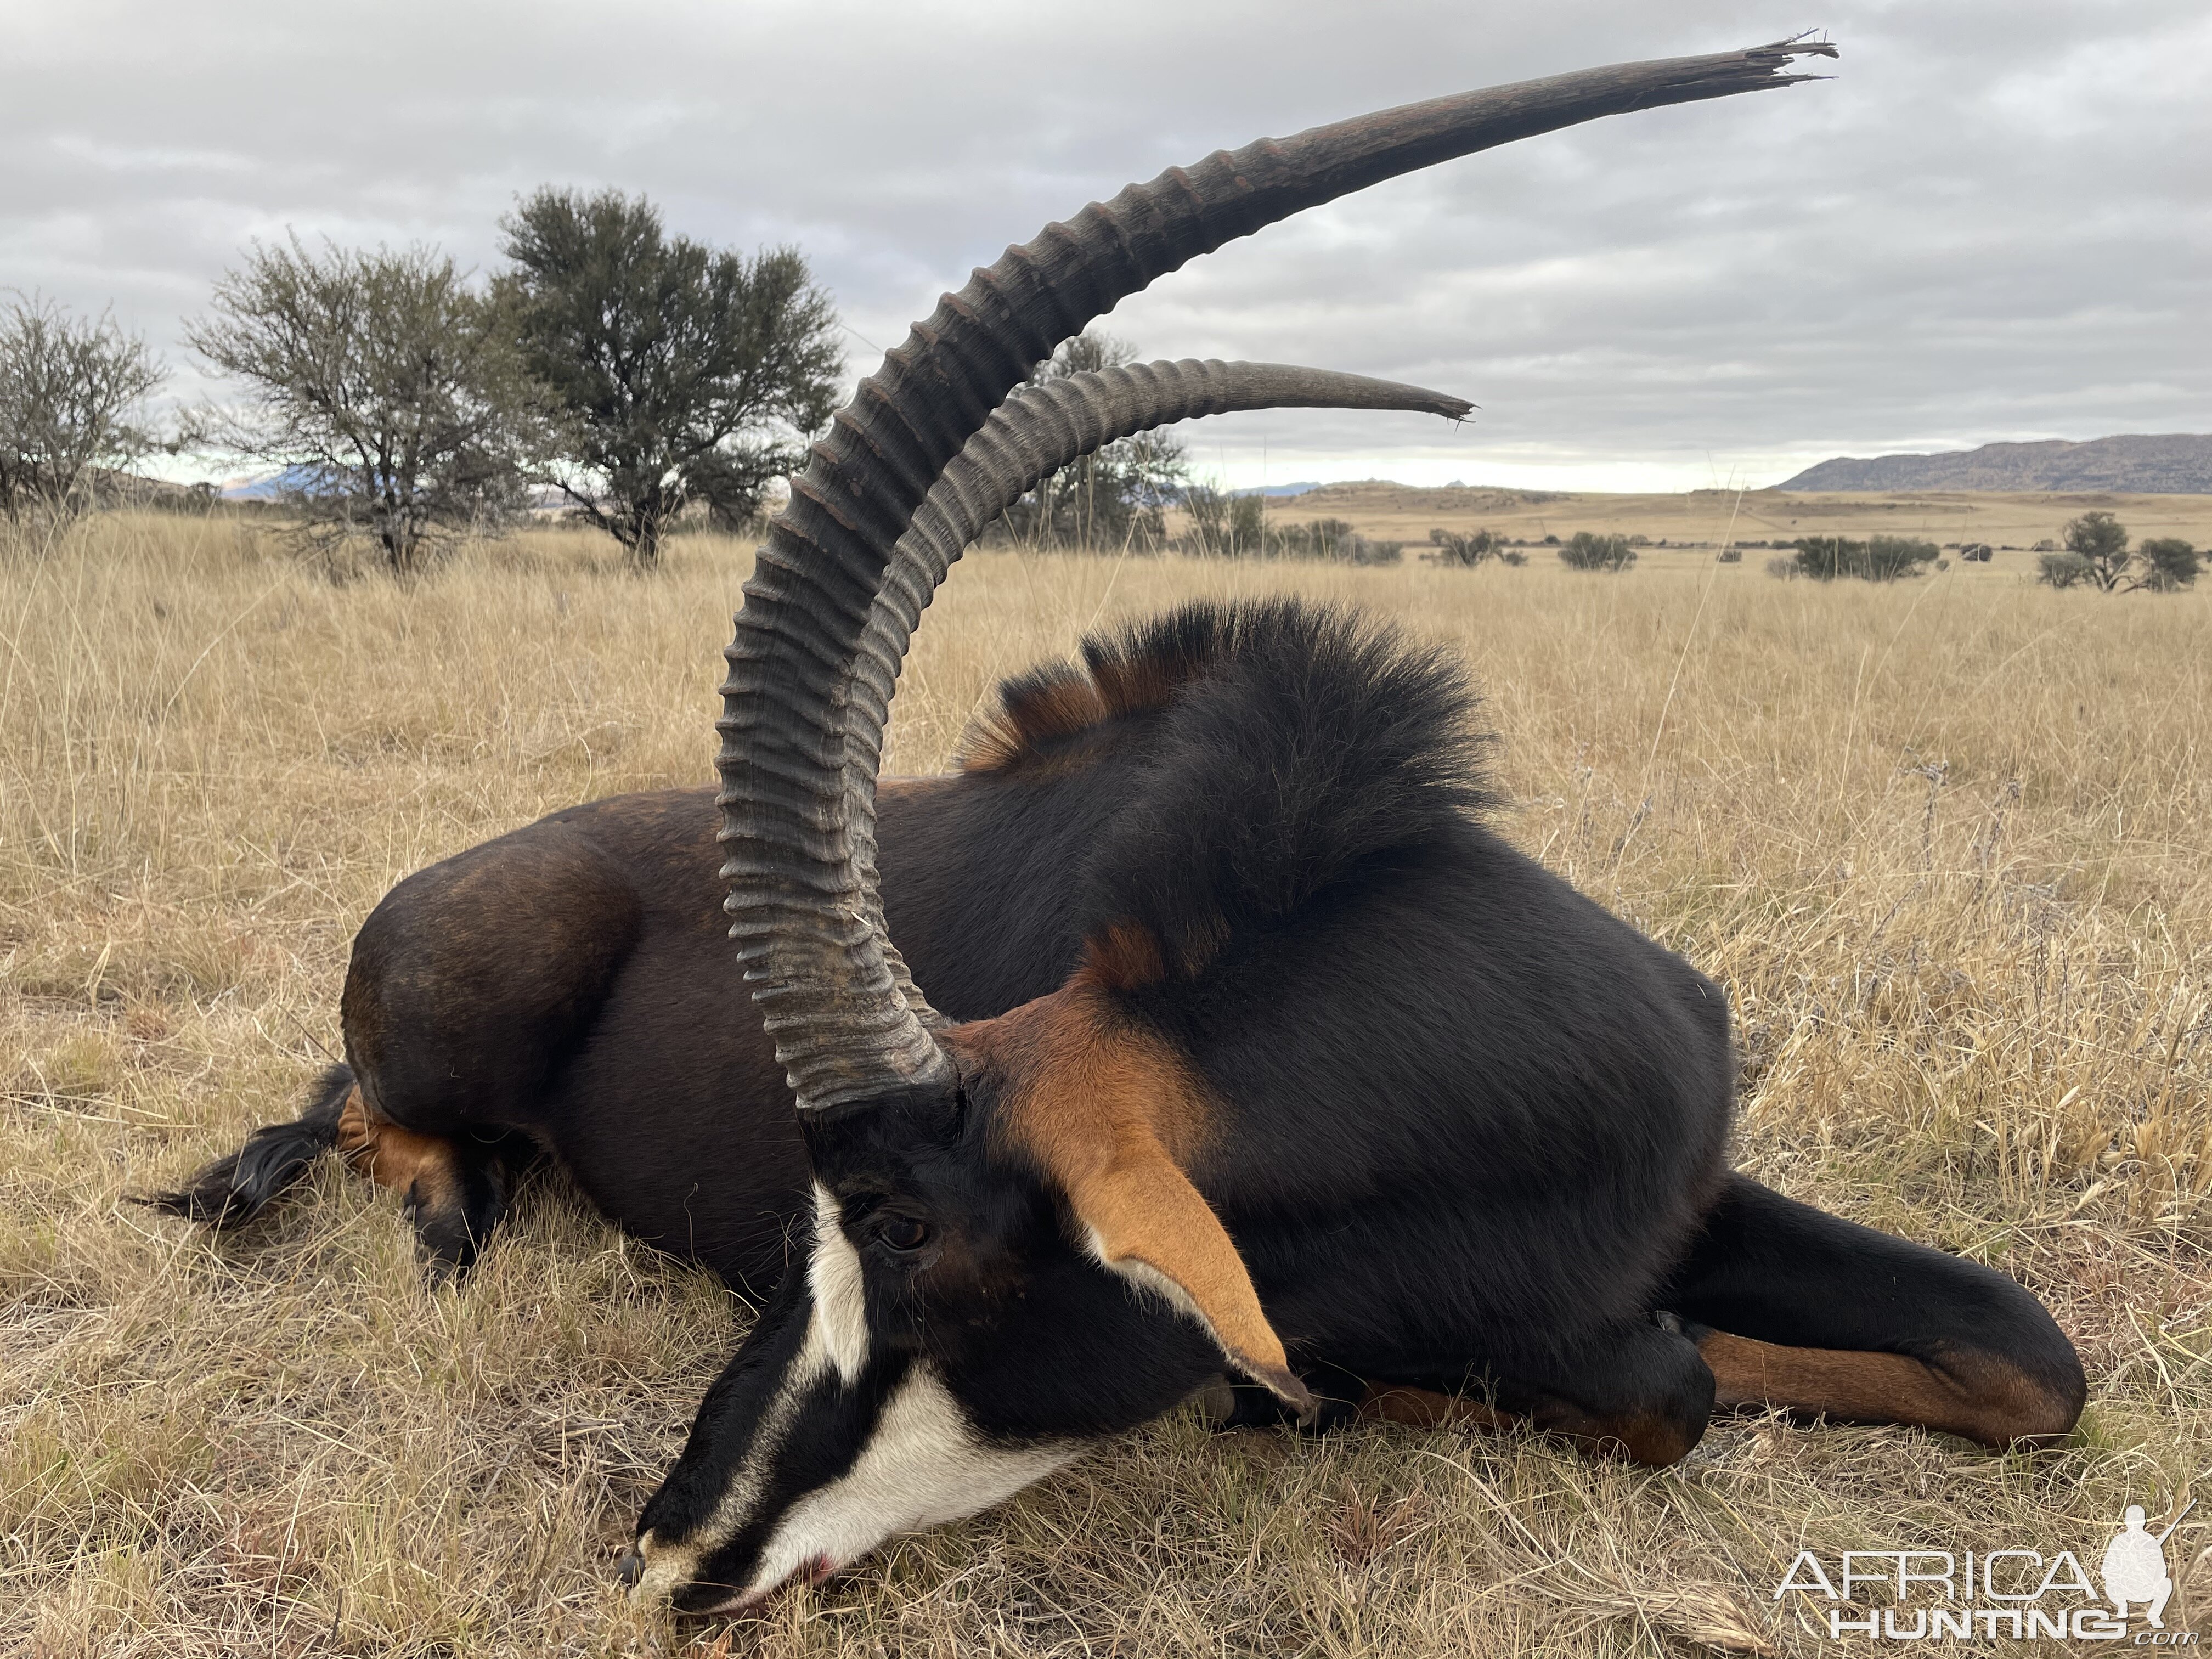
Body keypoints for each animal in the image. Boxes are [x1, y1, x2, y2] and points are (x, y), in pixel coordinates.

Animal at [147, 42, 2079, 1628]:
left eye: (904, 1235)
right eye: (815, 1225)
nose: (671, 1553)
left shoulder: (1690, 1195)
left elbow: (2028, 1361)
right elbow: (1646, 1385)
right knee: (368, 1116)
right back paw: (446, 1211)